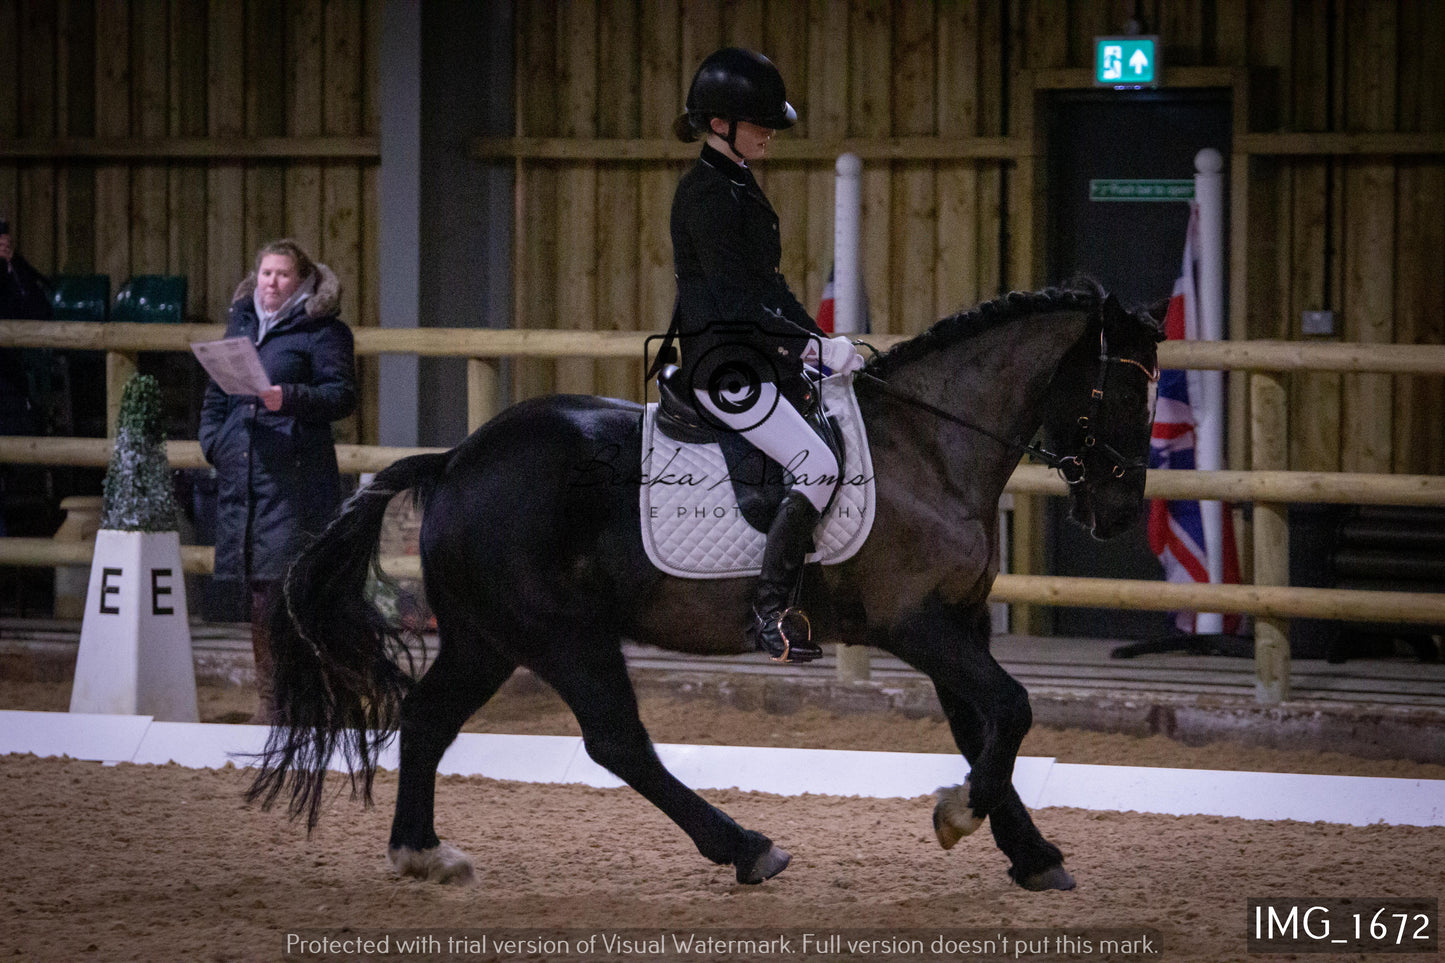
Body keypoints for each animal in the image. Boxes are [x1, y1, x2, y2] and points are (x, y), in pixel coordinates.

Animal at [248, 277, 1161, 890]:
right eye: (1123, 384)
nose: (1117, 512)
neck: (929, 446)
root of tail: (457, 460)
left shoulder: (959, 623)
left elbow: (984, 732)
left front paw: (1029, 853)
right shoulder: (915, 624)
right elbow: (1011, 708)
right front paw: (958, 815)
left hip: (486, 637)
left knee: (428, 718)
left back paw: (422, 851)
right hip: (562, 634)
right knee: (616, 741)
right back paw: (747, 847)